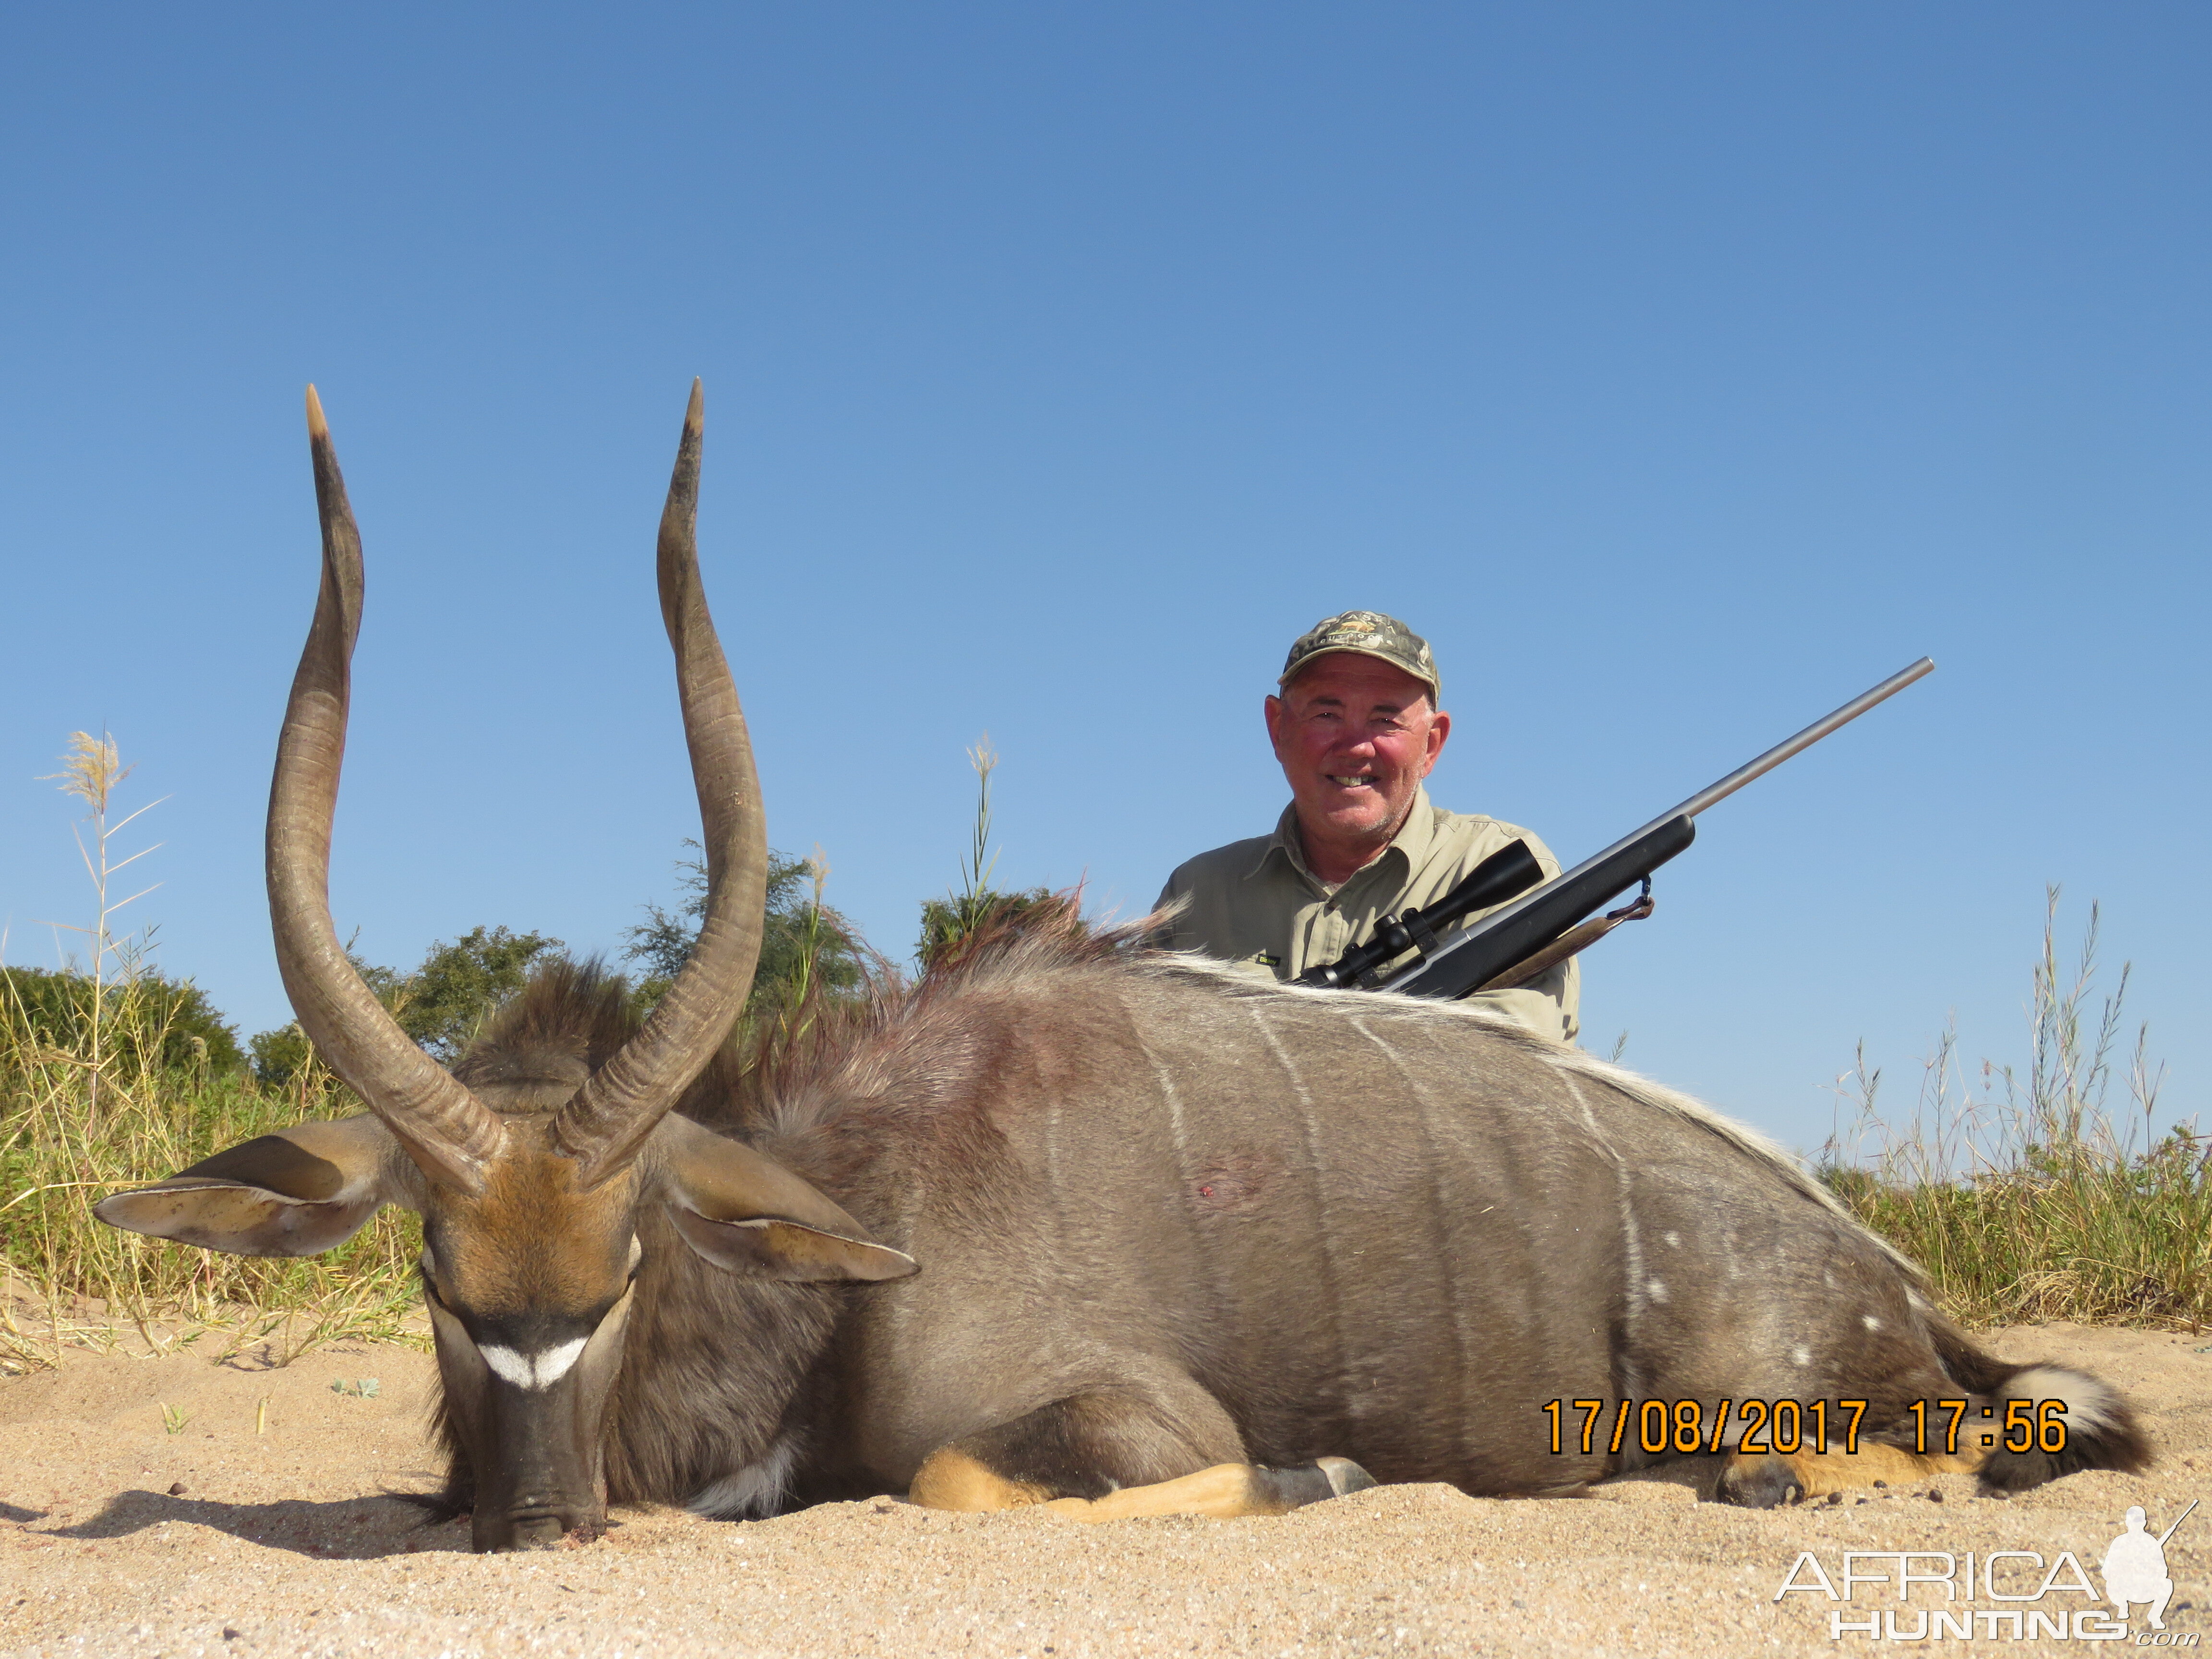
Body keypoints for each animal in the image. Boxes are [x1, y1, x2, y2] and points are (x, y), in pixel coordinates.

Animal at [99, 383, 2141, 1557]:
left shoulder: (1122, 1411)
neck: (862, 1216)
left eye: (620, 1271)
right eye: (436, 1281)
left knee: (1997, 1426)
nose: (530, 1525)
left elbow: (965, 1478)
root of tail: (1882, 1280)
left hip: (1812, 1388)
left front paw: (1325, 1479)